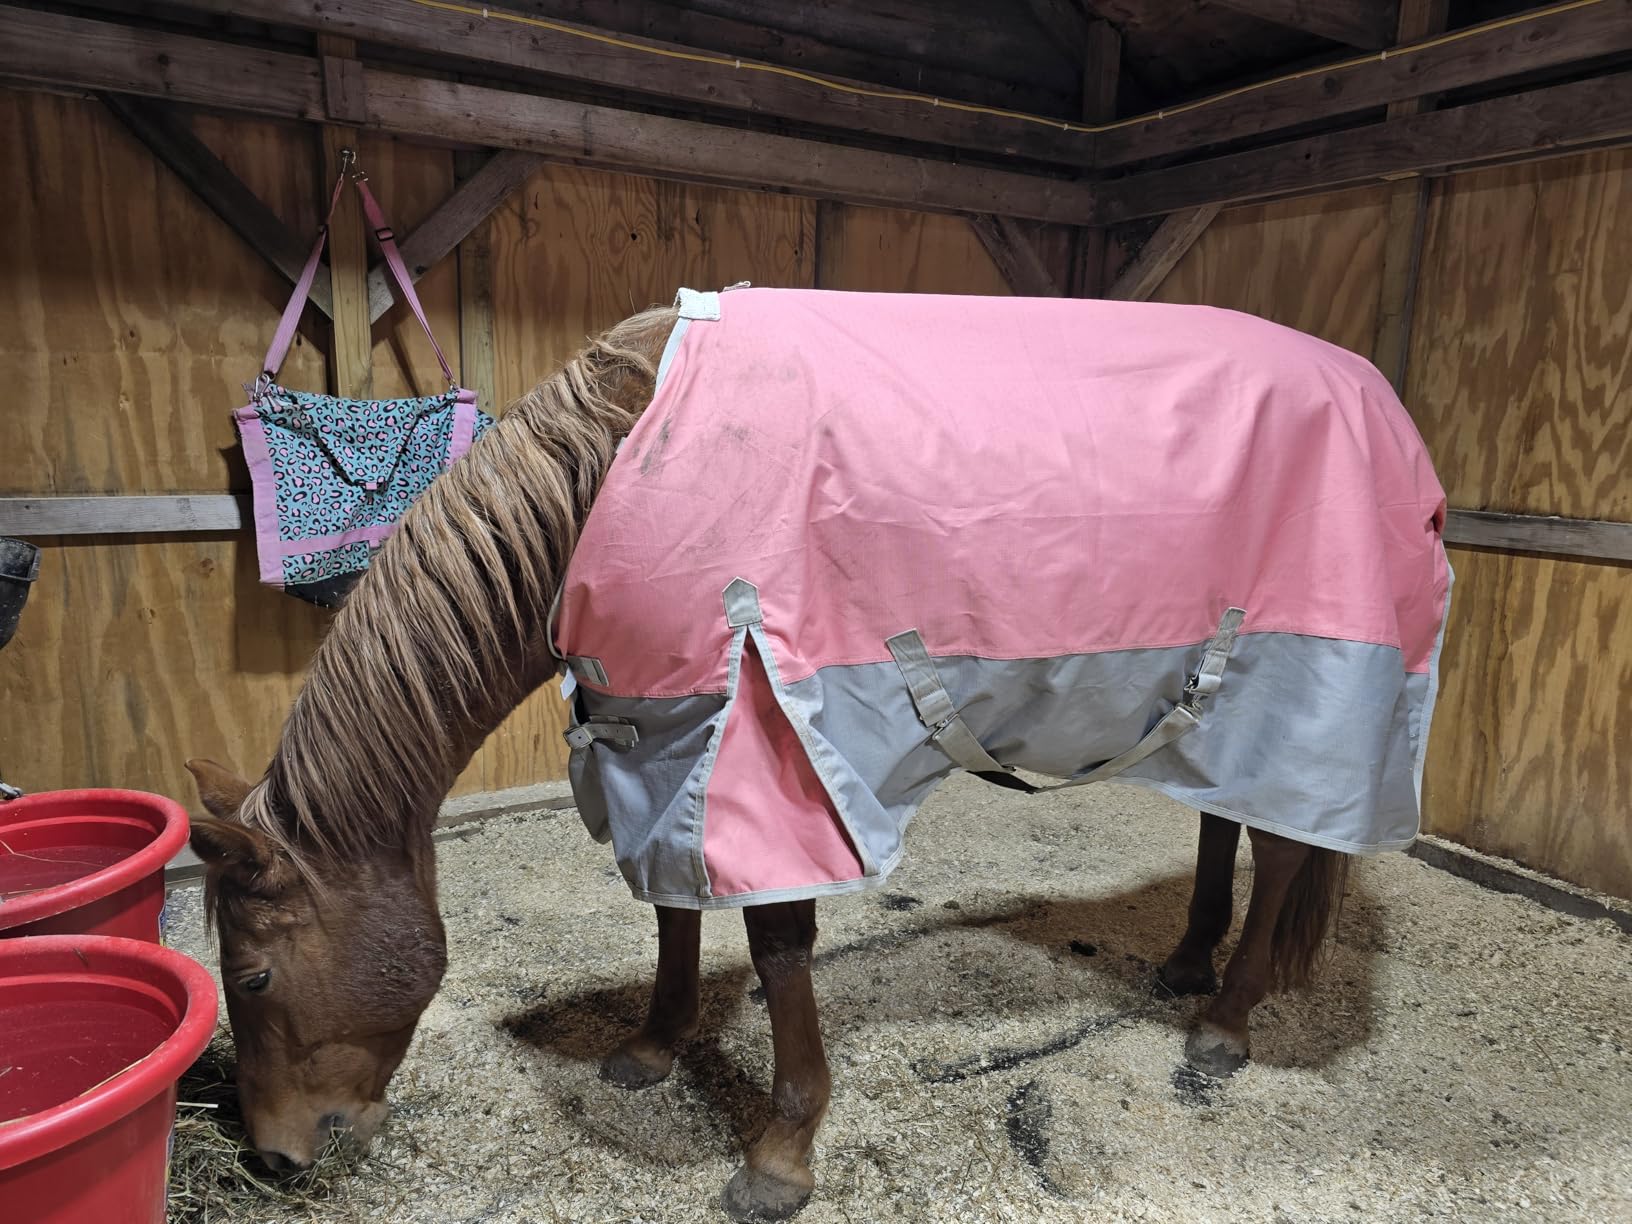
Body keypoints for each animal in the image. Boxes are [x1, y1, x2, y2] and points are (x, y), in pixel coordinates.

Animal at [187, 288, 1449, 1222]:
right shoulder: (663, 736)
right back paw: (1187, 961)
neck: (625, 465)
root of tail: (1379, 400)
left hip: (1306, 696)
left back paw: (1223, 1025)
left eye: (251, 978)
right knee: (1227, 820)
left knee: (1284, 850)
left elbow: (778, 944)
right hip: (1200, 706)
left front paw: (781, 1152)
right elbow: (673, 910)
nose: (275, 1158)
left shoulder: (766, 737)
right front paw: (654, 1046)